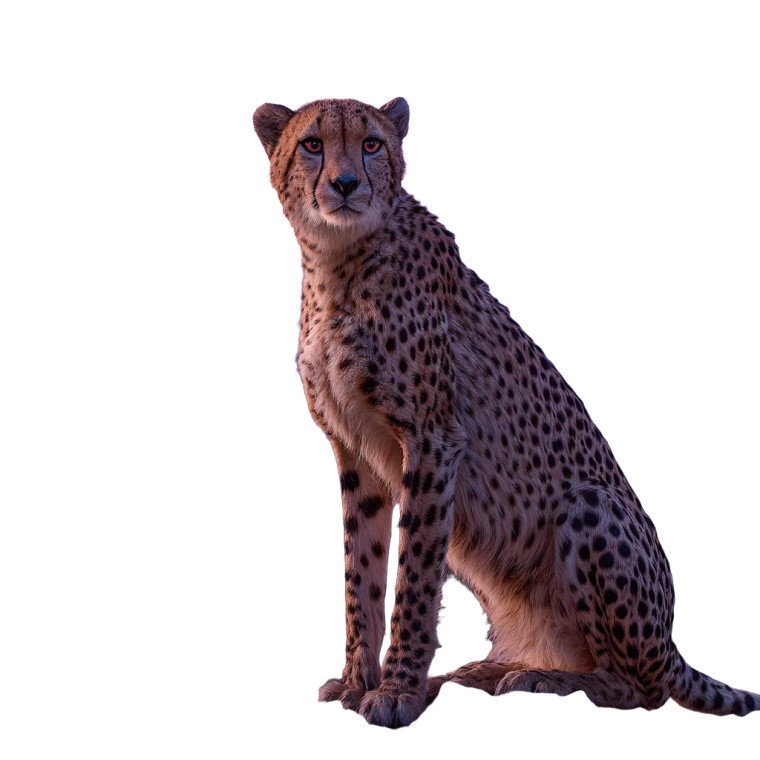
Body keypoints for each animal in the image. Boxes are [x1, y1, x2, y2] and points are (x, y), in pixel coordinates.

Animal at [252, 96, 760, 728]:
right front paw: (355, 682)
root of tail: (671, 643)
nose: (345, 184)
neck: (337, 262)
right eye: (312, 144)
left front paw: (396, 693)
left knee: (641, 690)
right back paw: (486, 671)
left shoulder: (433, 439)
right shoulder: (356, 453)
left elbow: (413, 576)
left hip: (587, 506)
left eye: (371, 143)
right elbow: (360, 575)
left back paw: (550, 679)